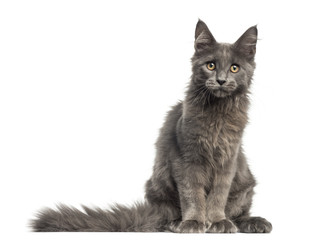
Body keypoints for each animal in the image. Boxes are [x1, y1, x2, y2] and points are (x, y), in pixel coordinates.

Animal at [31, 19, 272, 233]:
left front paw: (217, 222)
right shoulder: (185, 159)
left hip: (244, 184)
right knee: (166, 216)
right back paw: (176, 223)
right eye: (210, 65)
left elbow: (218, 196)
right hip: (159, 184)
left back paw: (254, 222)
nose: (221, 80)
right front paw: (194, 222)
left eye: (234, 68)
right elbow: (192, 194)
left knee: (239, 213)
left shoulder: (228, 160)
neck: (217, 113)